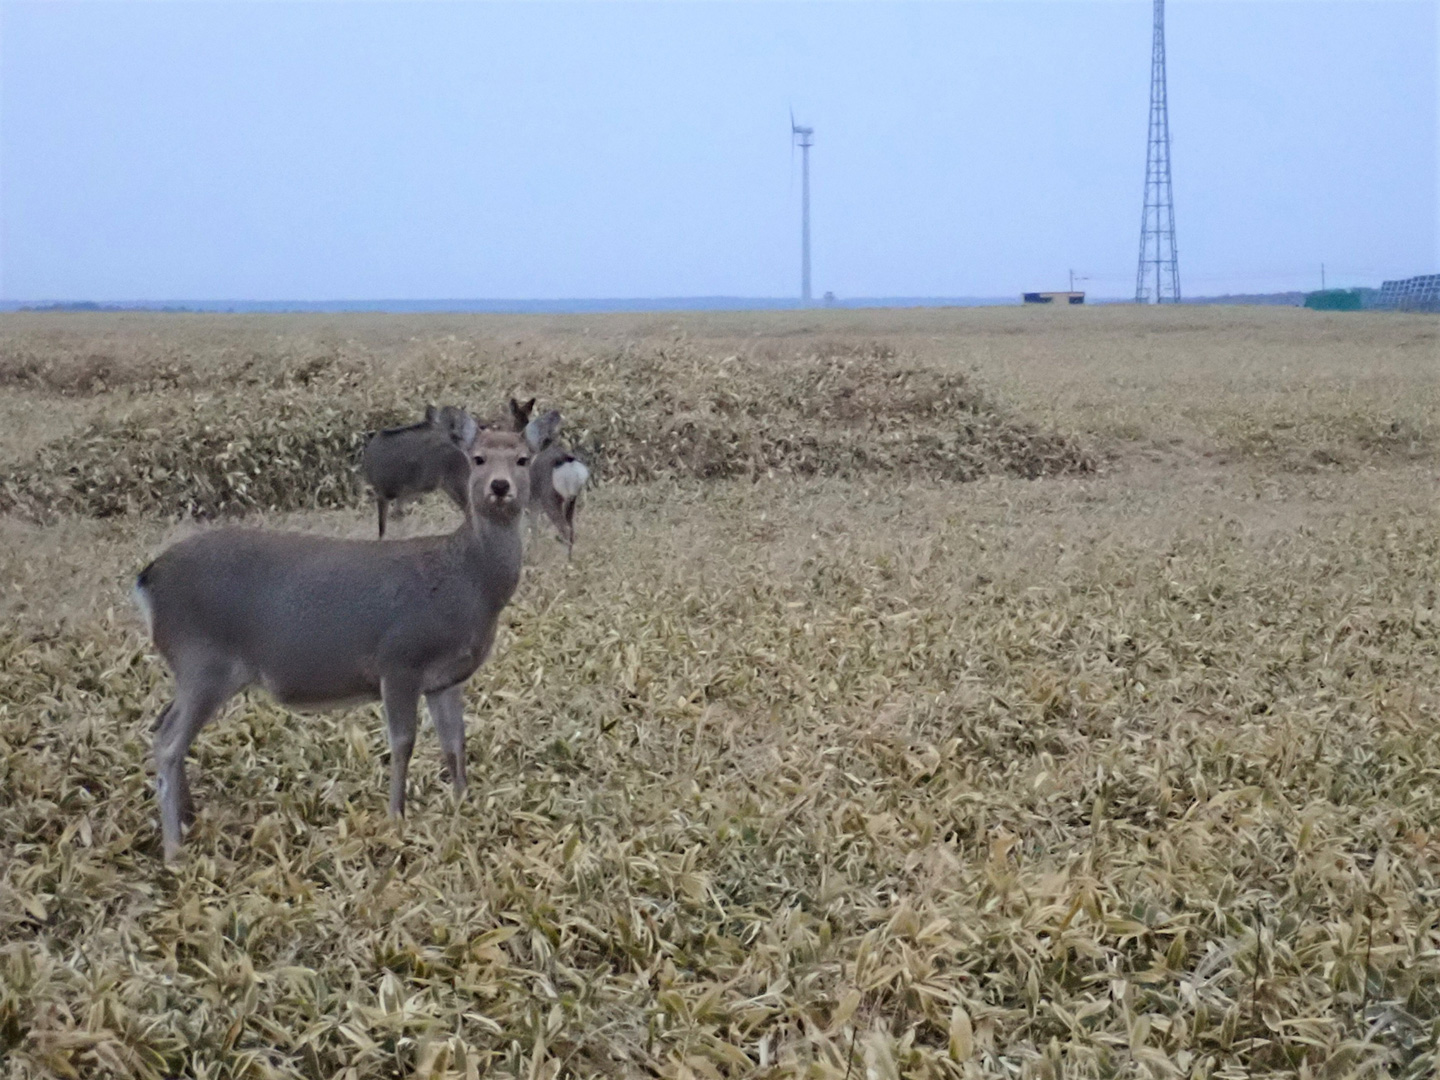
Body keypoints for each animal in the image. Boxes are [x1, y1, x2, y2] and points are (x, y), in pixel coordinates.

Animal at [131, 429, 529, 864]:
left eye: (523, 458)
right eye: (477, 458)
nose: (500, 487)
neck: (468, 585)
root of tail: (146, 580)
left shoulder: (446, 678)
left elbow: (455, 741)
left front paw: (463, 805)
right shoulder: (399, 659)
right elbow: (403, 742)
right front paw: (396, 818)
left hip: (194, 668)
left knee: (161, 726)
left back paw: (189, 819)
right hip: (202, 659)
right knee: (168, 741)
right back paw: (174, 850)